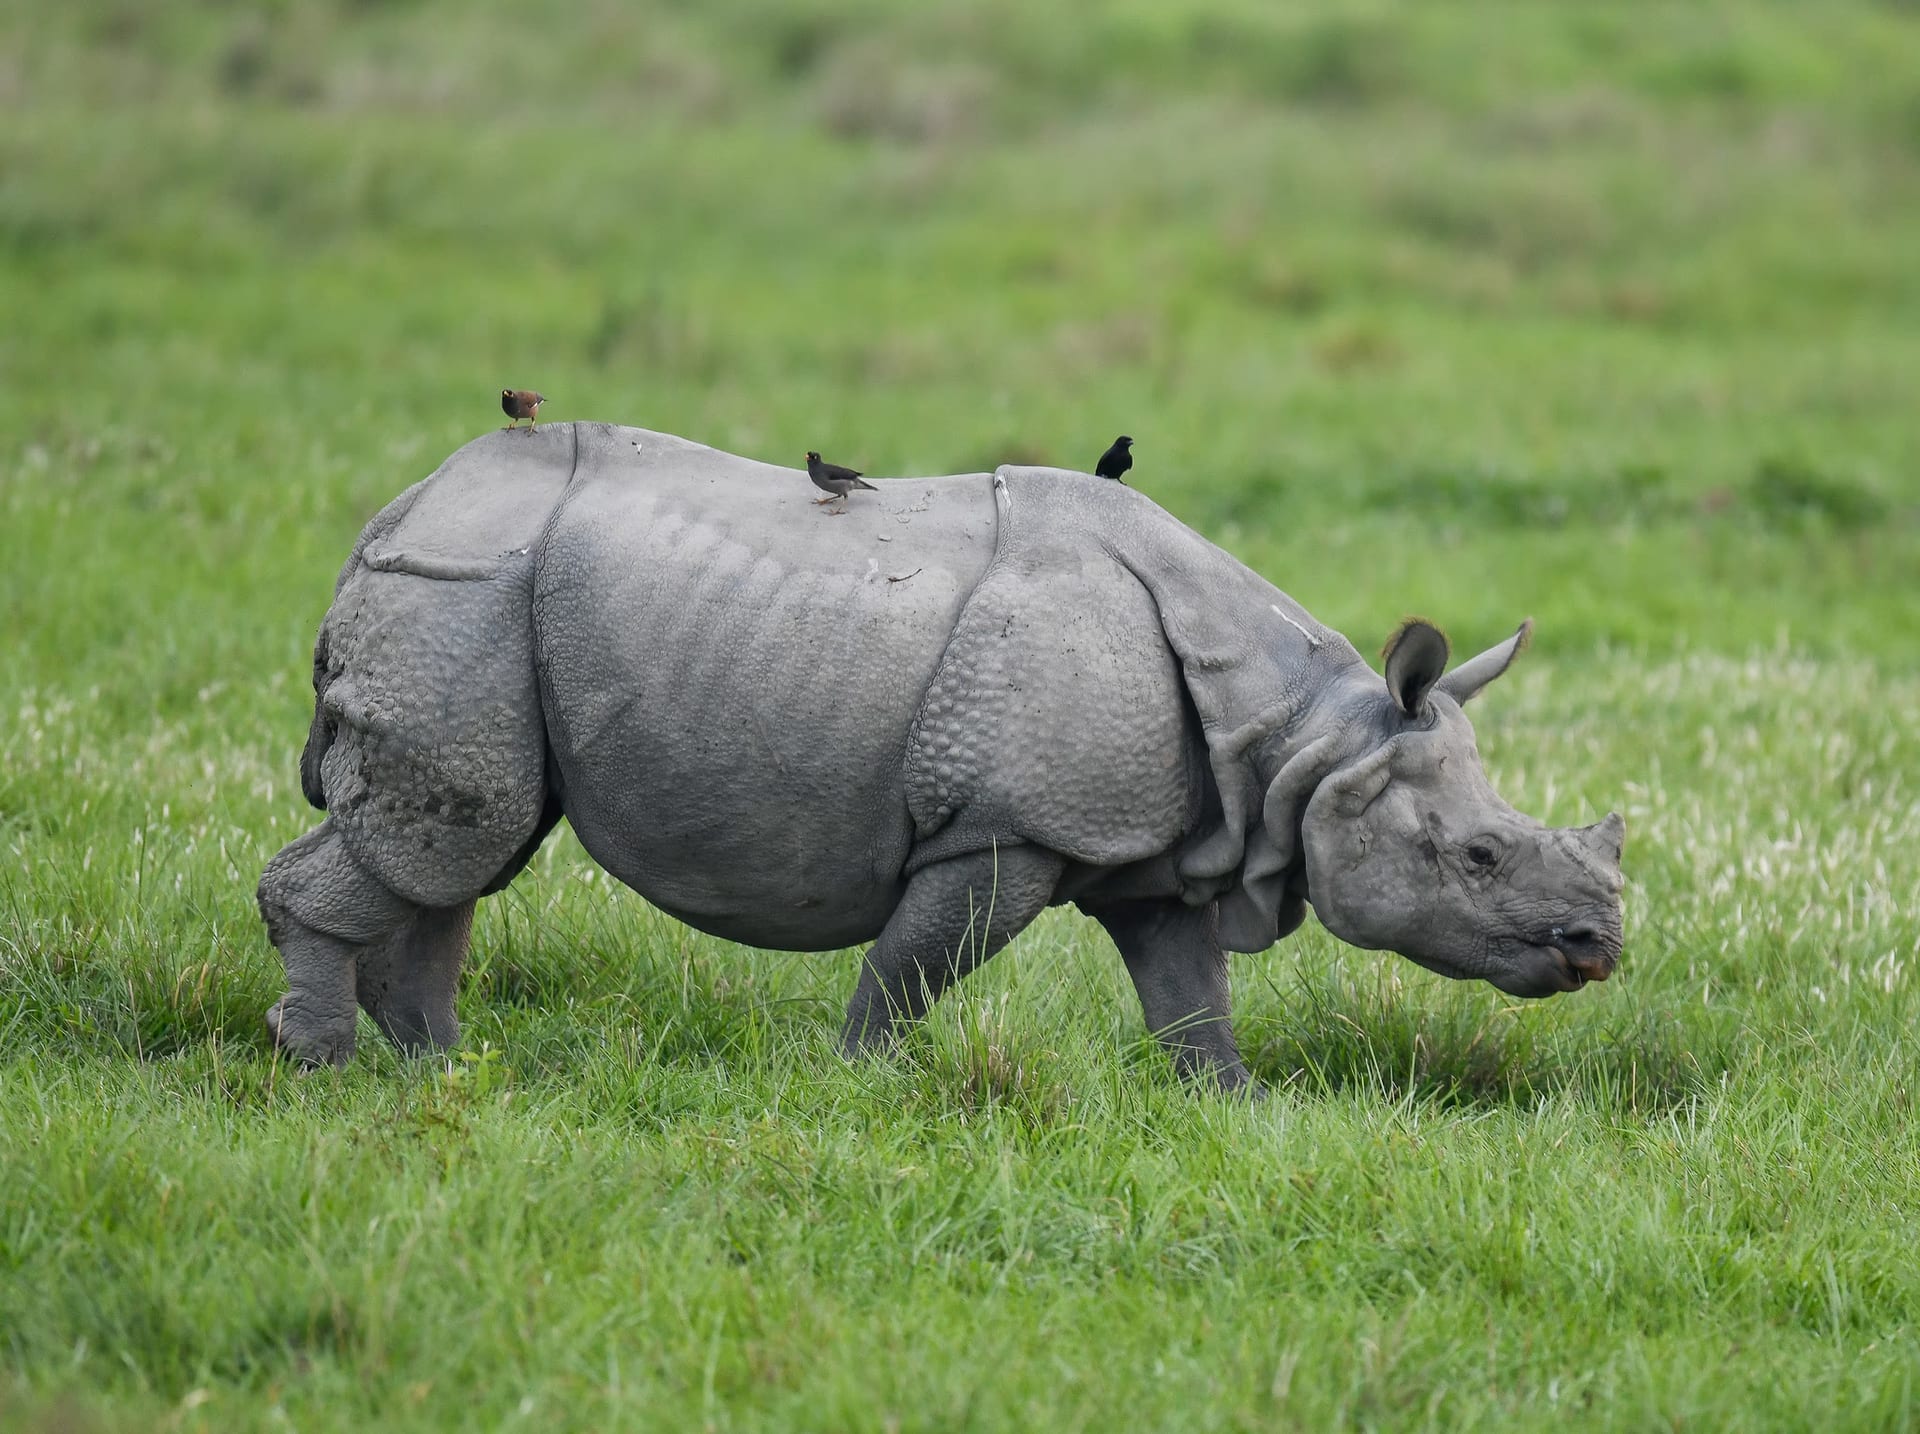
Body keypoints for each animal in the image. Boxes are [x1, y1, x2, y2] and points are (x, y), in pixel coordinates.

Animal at [257, 424, 1625, 1091]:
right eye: (1480, 856)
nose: (1599, 948)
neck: (1298, 745)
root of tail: (403, 505)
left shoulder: (1159, 841)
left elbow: (1189, 997)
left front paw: (1228, 1108)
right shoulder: (1007, 827)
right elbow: (917, 967)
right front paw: (860, 1088)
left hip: (486, 604)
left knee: (462, 853)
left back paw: (440, 1069)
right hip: (460, 594)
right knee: (451, 840)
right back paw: (323, 1072)